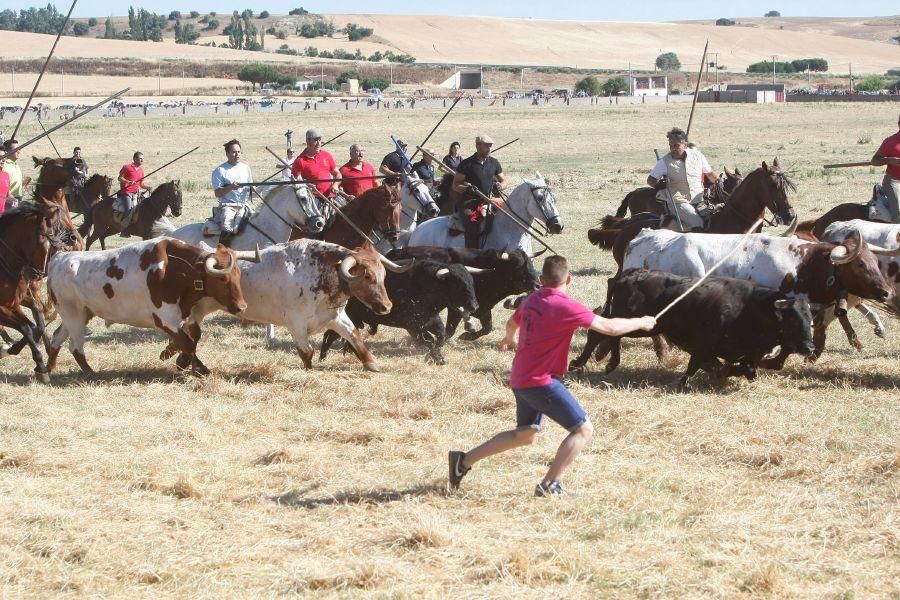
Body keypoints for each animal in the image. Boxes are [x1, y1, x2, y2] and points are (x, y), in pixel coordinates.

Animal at [0, 200, 81, 380]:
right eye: (42, 242)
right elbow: (26, 327)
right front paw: (40, 365)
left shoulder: (14, 303)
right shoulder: (3, 308)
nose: (35, 274)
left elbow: (35, 324)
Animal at [572, 270, 820, 390]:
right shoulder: (704, 344)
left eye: (810, 320)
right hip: (635, 322)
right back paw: (579, 364)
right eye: (793, 320)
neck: (750, 308)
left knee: (612, 335)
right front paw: (684, 383)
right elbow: (695, 364)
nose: (810, 348)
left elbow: (745, 370)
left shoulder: (745, 354)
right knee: (599, 334)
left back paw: (610, 363)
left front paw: (721, 371)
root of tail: (631, 274)